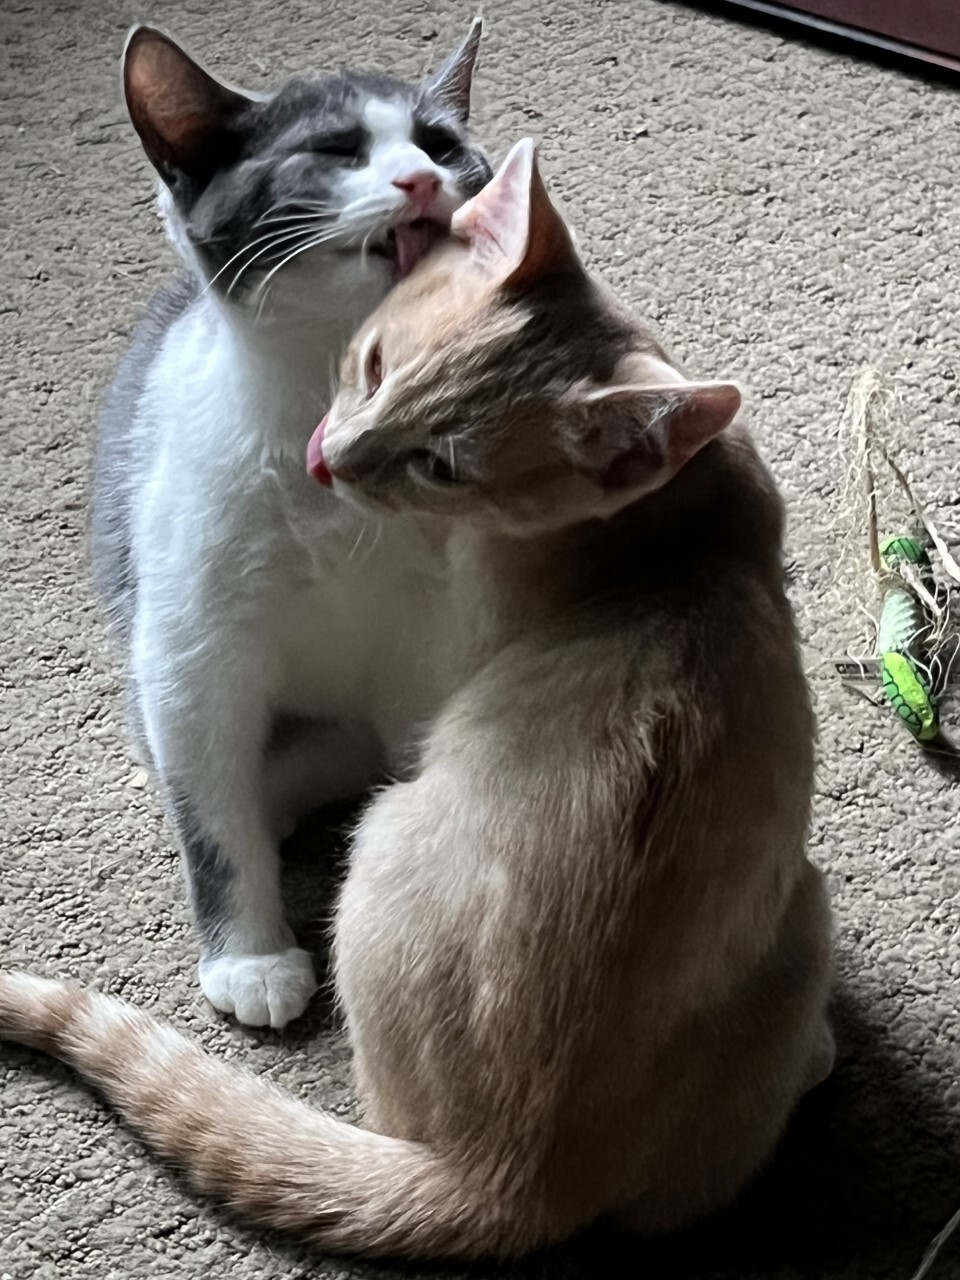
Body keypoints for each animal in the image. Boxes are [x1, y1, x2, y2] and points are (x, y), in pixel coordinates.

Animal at [0, 138, 834, 1260]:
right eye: (375, 364)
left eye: (443, 466)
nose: (329, 459)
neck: (676, 542)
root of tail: (514, 1174)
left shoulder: (423, 667)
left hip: (414, 839)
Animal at [91, 22, 490, 1028]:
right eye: (336, 150)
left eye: (440, 144)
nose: (420, 180)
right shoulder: (192, 659)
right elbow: (212, 816)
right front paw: (250, 956)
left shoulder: (435, 639)